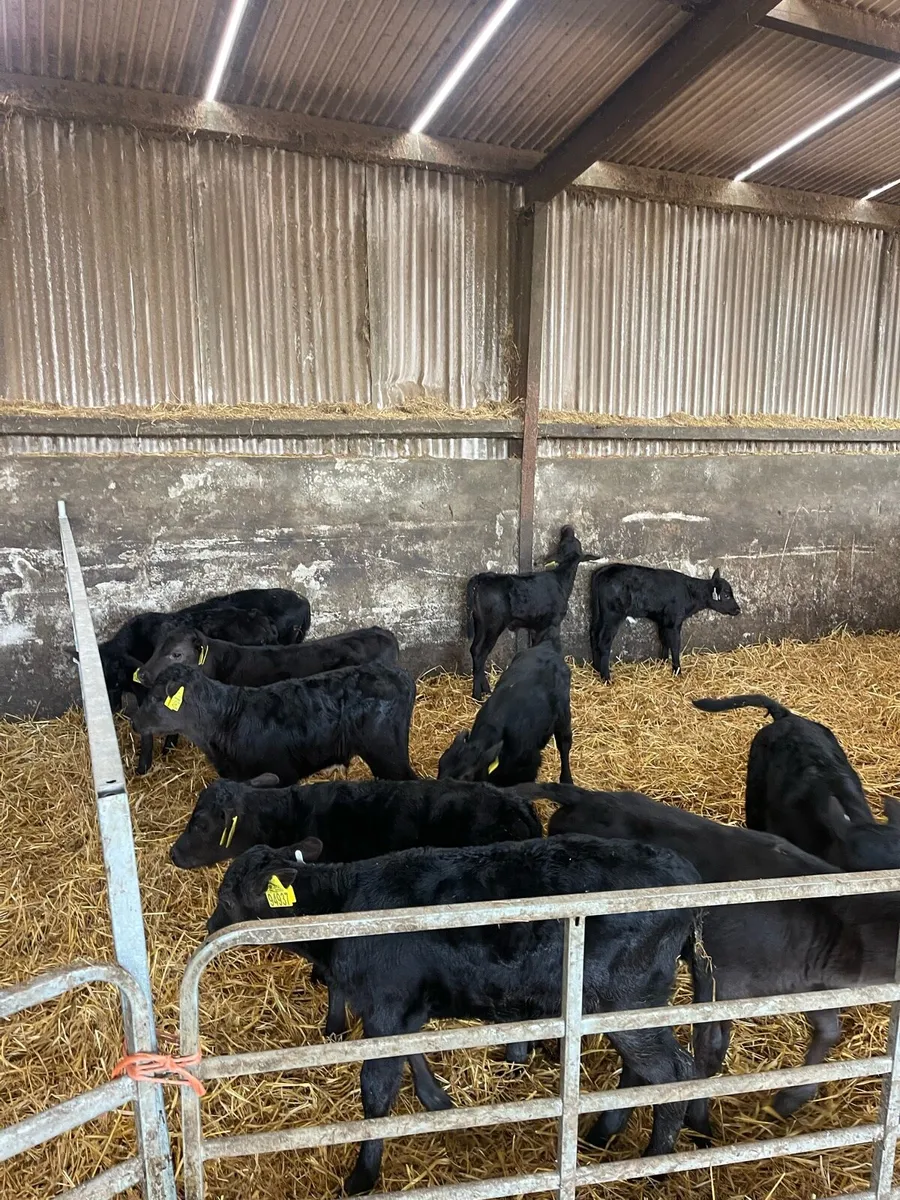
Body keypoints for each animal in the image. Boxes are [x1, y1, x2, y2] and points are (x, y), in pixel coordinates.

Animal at [207, 834, 703, 1194]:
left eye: (228, 900)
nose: (210, 929)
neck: (343, 907)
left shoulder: (385, 1007)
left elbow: (377, 1089)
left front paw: (362, 1177)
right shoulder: (405, 1011)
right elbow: (414, 1059)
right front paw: (437, 1102)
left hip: (627, 996)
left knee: (674, 1071)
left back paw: (656, 1165)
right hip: (622, 1006)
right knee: (643, 1070)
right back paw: (603, 1131)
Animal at [437, 642, 573, 786]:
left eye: (466, 776)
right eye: (440, 765)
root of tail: (545, 647)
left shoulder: (529, 767)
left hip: (563, 714)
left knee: (564, 743)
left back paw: (567, 780)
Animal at [465, 524, 599, 700]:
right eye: (562, 543)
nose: (567, 528)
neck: (560, 580)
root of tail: (483, 577)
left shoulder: (537, 627)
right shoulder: (552, 624)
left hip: (480, 623)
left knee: (474, 650)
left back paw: (484, 689)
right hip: (493, 625)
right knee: (481, 653)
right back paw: (477, 695)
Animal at [589, 564, 740, 683]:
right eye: (726, 595)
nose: (738, 609)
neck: (689, 592)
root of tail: (603, 570)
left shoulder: (664, 621)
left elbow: (664, 640)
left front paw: (663, 662)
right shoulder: (674, 622)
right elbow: (675, 644)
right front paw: (677, 670)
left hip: (599, 615)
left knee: (593, 634)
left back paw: (597, 668)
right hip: (612, 615)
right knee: (604, 642)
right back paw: (606, 678)